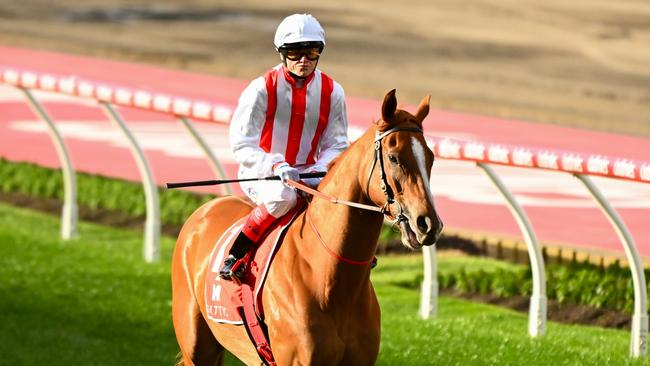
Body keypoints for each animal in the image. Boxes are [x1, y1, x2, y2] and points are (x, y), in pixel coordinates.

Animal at [171, 89, 440, 366]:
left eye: (430, 158)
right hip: (197, 348)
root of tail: (204, 211)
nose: (428, 224)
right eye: (394, 157)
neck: (331, 281)